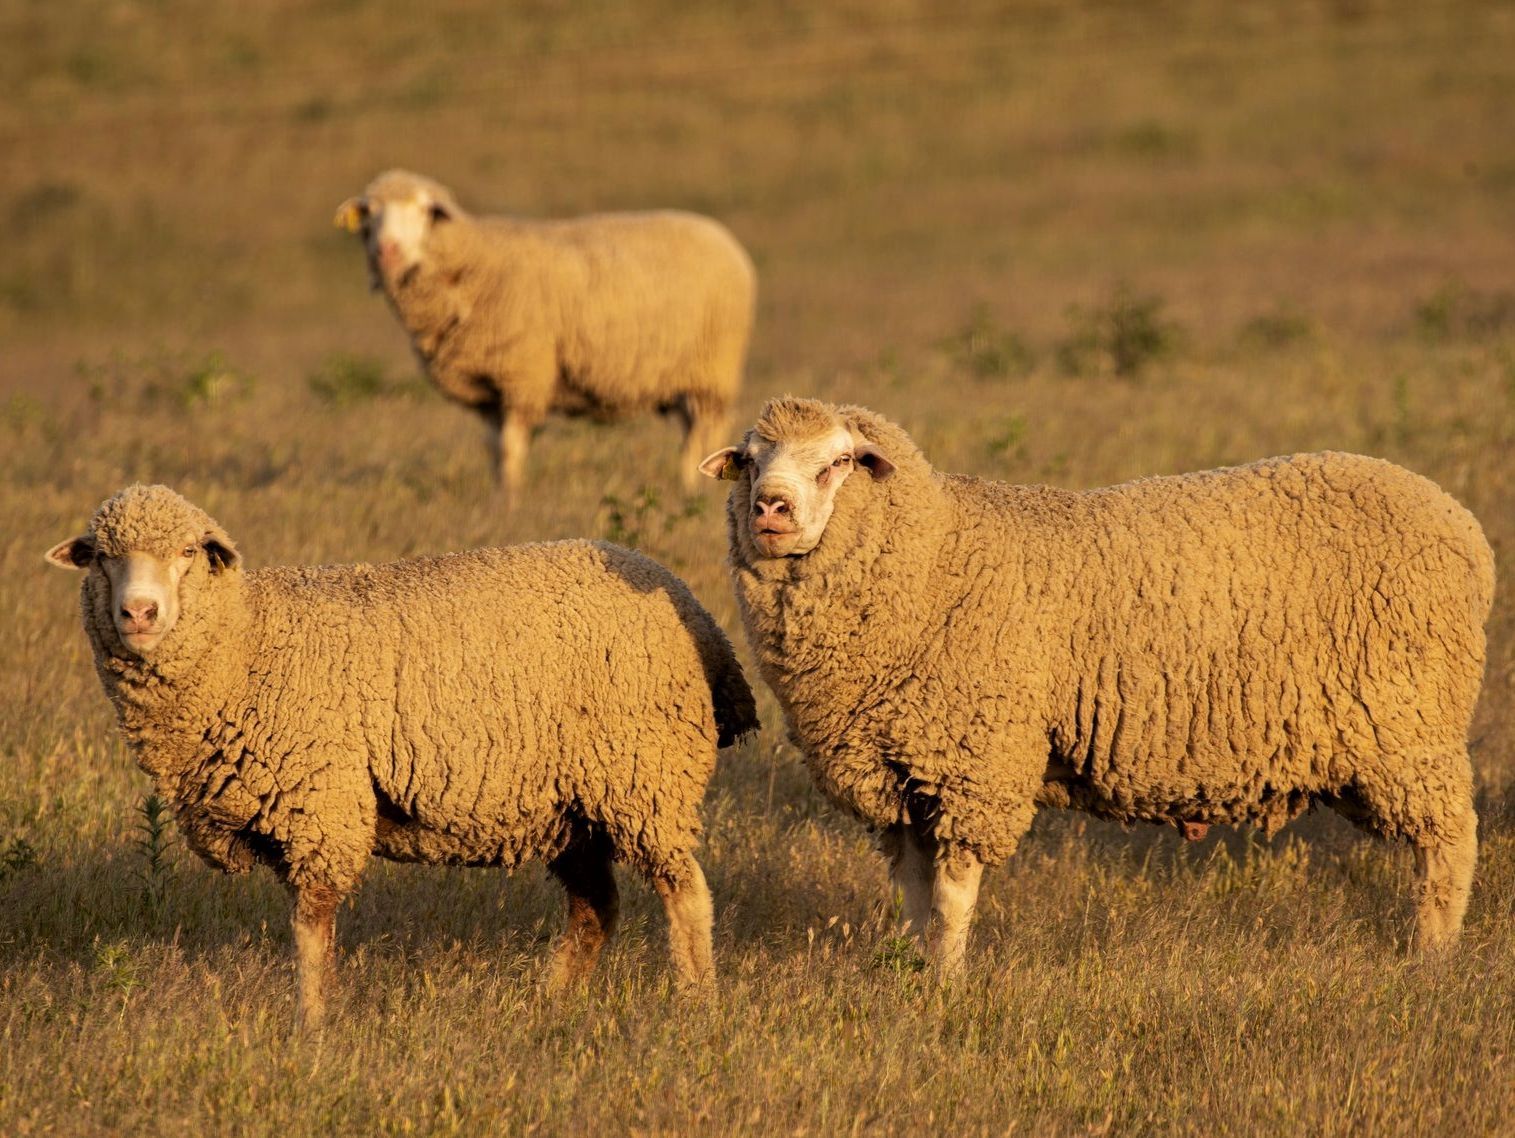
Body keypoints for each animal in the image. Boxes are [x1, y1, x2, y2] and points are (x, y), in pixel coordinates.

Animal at [46, 484, 759, 1027]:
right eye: (101, 558)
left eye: (189, 552)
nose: (139, 613)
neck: (249, 641)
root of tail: (698, 616)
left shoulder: (322, 803)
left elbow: (312, 926)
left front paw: (312, 1025)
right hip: (572, 807)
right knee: (595, 910)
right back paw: (551, 1003)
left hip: (644, 777)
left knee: (686, 893)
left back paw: (697, 1005)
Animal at [334, 169, 757, 503]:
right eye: (369, 213)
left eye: (426, 211)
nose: (387, 251)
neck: (468, 266)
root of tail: (718, 233)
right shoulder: (489, 390)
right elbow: (493, 449)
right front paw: (499, 499)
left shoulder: (522, 375)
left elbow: (510, 448)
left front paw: (513, 501)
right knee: (689, 435)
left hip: (713, 369)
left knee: (705, 432)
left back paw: (693, 493)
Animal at [700, 396, 1494, 973]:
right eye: (751, 462)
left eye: (839, 462)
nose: (770, 508)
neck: (936, 561)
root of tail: (1460, 523)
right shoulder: (894, 777)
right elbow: (915, 895)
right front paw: (916, 974)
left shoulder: (975, 764)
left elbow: (952, 898)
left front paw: (948, 983)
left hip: (1409, 728)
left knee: (1449, 845)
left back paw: (1432, 955)